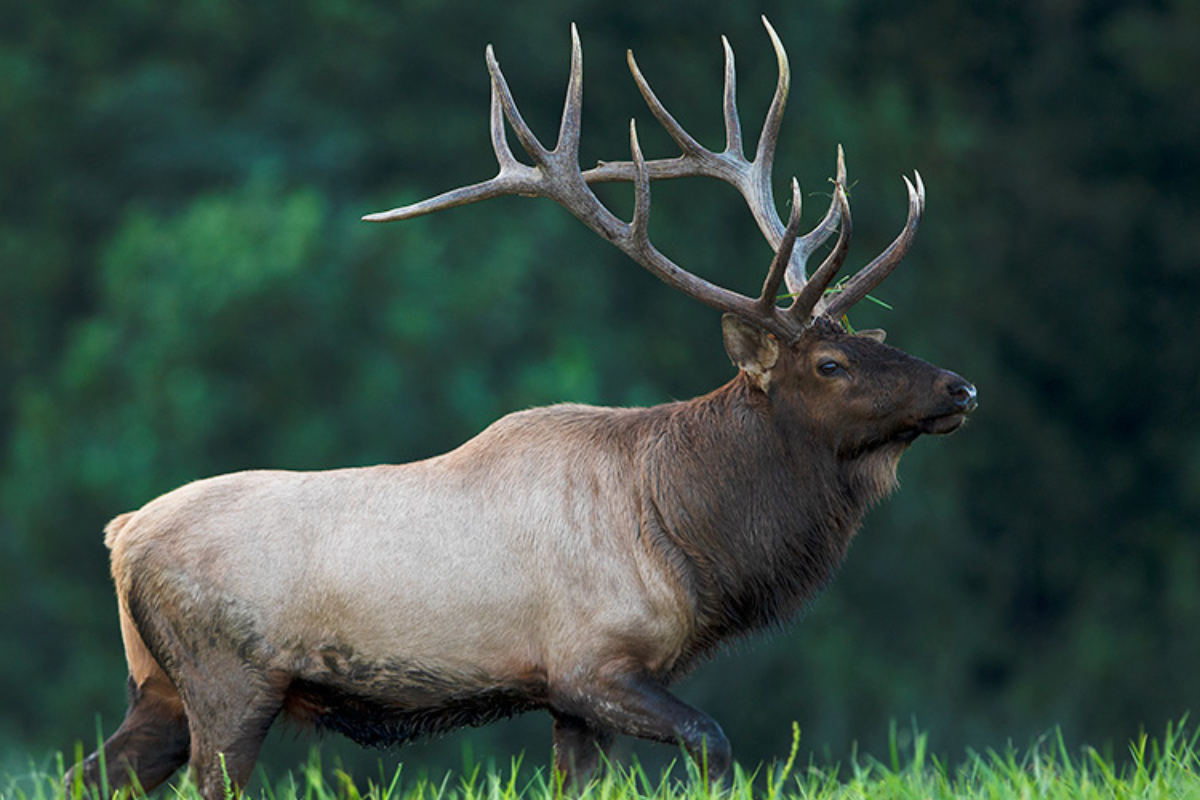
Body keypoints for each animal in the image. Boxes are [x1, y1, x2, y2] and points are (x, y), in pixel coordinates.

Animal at [67, 18, 976, 799]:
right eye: (831, 363)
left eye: (880, 339)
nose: (960, 388)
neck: (688, 539)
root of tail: (121, 537)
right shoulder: (593, 662)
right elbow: (715, 743)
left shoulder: (568, 698)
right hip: (228, 675)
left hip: (157, 685)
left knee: (89, 772)